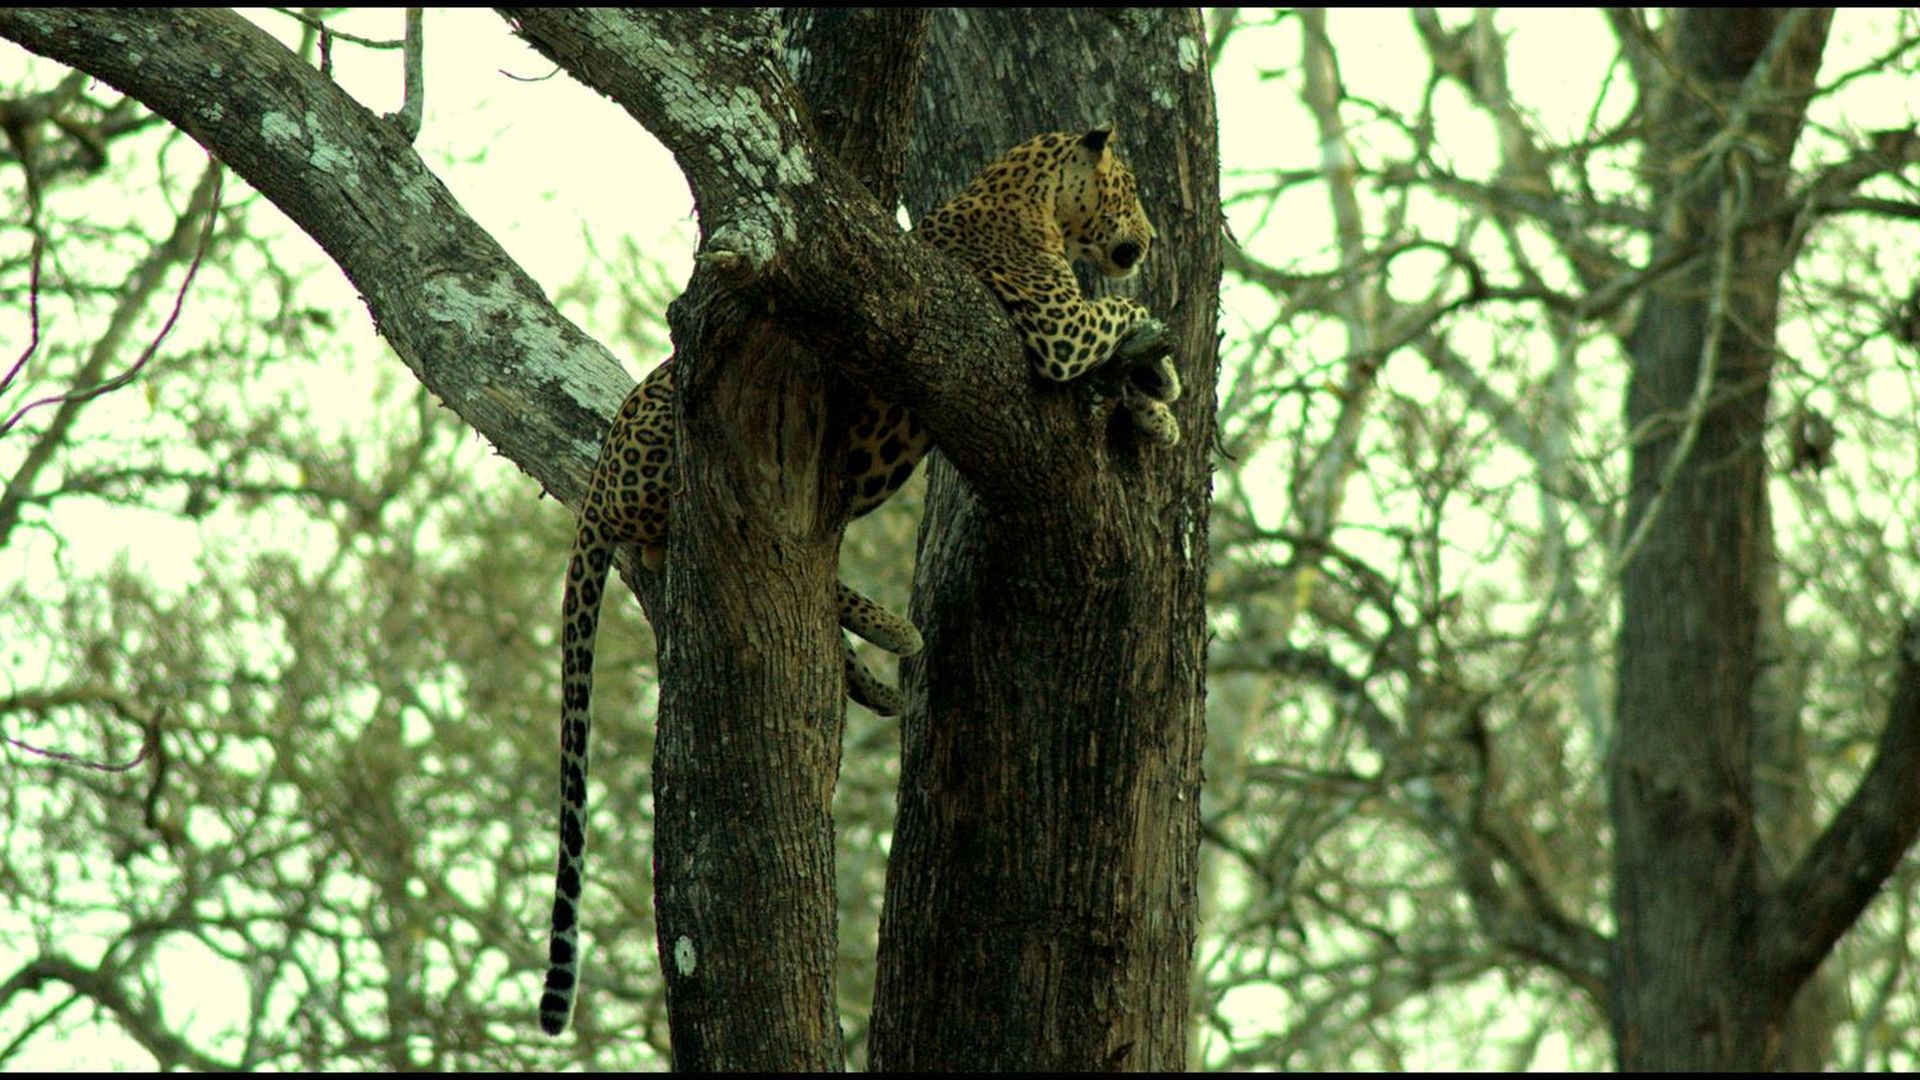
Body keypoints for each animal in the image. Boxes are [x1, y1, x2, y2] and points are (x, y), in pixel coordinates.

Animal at [539, 126, 1181, 1037]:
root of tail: (599, 480)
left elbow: (1121, 375)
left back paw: (876, 674)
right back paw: (894, 633)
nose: (1150, 243)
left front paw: (1156, 401)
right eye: (1127, 190)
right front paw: (1156, 363)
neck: (1032, 200)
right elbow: (1116, 321)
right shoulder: (1055, 327)